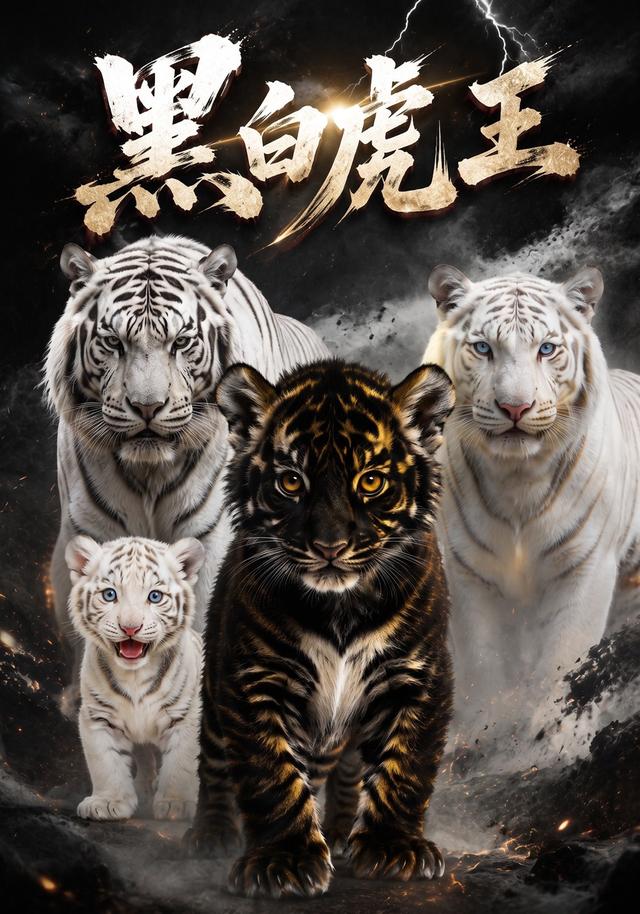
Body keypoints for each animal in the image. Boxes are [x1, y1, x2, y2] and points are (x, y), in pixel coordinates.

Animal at [44, 233, 328, 713]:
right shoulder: (92, 534)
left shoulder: (211, 540)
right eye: (114, 342)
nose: (147, 407)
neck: (148, 473)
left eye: (180, 342)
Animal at [65, 534, 205, 820]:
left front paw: (176, 804)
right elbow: (105, 763)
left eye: (155, 596)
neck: (135, 674)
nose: (130, 628)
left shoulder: (187, 716)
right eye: (109, 595)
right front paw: (108, 802)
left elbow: (182, 762)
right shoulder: (98, 717)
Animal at [186, 358, 455, 898]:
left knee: (349, 773)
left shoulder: (418, 677)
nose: (329, 545)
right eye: (291, 482)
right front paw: (285, 860)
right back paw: (212, 832)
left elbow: (406, 765)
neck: (341, 609)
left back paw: (342, 832)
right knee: (215, 763)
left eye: (370, 482)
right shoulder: (255, 681)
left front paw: (393, 848)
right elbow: (271, 775)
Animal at [423, 264, 640, 752]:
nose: (515, 407)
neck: (516, 477)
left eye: (546, 349)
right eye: (483, 348)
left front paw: (556, 730)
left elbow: (565, 653)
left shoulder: (586, 566)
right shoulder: (468, 571)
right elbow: (482, 658)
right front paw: (486, 725)